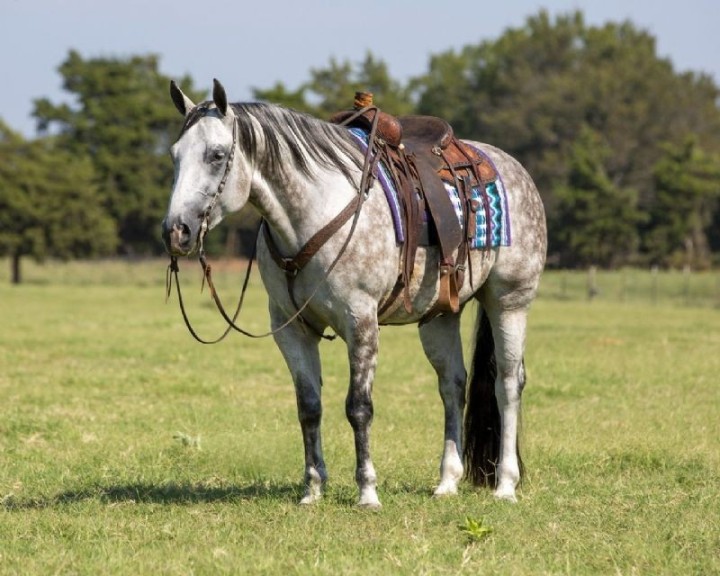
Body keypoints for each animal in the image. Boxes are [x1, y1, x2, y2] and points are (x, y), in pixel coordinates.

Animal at [161, 79, 546, 508]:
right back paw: (446, 482)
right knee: (453, 385)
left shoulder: (360, 322)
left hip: (509, 301)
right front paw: (312, 489)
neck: (312, 211)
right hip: (440, 316)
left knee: (507, 383)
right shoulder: (290, 329)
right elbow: (309, 407)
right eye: (175, 155)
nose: (176, 231)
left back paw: (506, 485)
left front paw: (367, 491)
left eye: (216, 155)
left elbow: (358, 408)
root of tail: (511, 167)